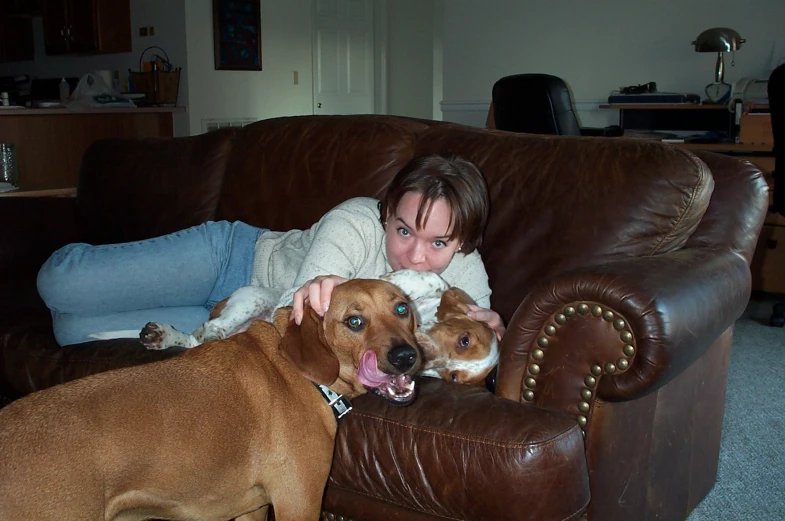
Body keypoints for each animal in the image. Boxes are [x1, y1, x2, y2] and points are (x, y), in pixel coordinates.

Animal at [0, 278, 422, 520]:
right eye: (354, 322)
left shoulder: (255, 507)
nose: (407, 356)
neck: (300, 372)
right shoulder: (299, 503)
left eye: (402, 308)